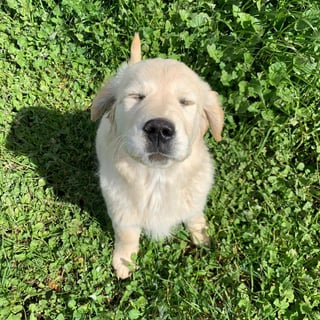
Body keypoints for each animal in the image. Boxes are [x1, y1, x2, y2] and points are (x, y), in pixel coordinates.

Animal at [91, 33, 224, 278]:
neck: (157, 178)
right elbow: (126, 234)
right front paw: (124, 261)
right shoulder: (121, 208)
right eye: (136, 96)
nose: (159, 129)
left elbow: (194, 216)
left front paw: (202, 236)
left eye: (185, 102)